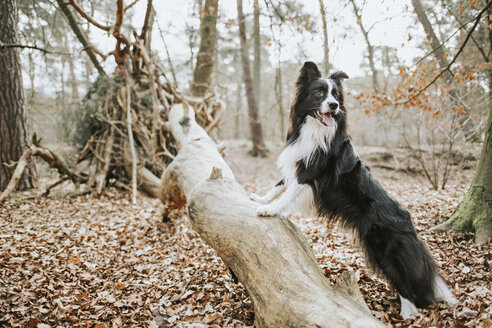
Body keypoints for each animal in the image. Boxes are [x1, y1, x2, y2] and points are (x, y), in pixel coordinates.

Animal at [250, 60, 458, 318]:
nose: (334, 105)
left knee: (407, 287)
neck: (314, 129)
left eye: (336, 95)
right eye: (319, 93)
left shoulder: (310, 173)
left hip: (384, 252)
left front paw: (269, 210)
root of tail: (409, 224)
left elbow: (288, 193)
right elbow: (279, 184)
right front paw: (260, 198)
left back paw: (406, 314)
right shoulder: (298, 164)